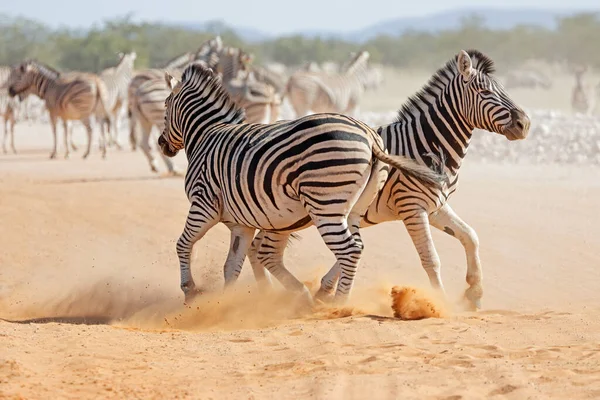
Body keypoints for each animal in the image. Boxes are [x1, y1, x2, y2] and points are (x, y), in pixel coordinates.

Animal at [159, 62, 446, 304]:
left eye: (165, 106)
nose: (162, 144)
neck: (206, 135)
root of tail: (369, 136)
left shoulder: (203, 203)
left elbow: (183, 244)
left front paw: (190, 290)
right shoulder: (242, 223)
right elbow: (231, 267)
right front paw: (224, 304)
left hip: (326, 205)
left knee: (349, 250)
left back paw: (339, 306)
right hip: (353, 209)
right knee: (355, 246)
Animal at [247, 49, 528, 310]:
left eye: (504, 90)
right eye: (484, 92)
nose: (524, 124)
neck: (427, 146)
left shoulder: (435, 207)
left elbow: (470, 236)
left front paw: (475, 293)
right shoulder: (412, 207)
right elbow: (431, 258)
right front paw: (441, 303)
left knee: (255, 249)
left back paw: (268, 297)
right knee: (260, 250)